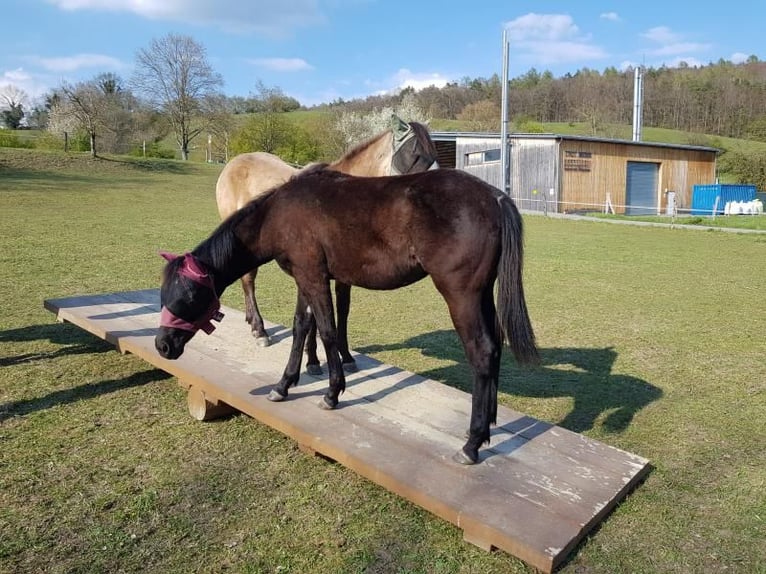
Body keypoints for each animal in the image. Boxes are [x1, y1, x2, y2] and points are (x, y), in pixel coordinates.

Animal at [156, 165, 540, 464]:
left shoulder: (313, 277)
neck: (279, 213)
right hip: (482, 295)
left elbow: (326, 331)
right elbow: (301, 328)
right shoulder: (305, 277)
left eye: (189, 295)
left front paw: (331, 393)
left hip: (461, 296)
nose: (163, 345)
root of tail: (495, 197)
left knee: (482, 352)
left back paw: (472, 443)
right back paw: (488, 424)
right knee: (495, 349)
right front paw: (283, 385)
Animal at [216, 117, 440, 378]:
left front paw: (346, 356)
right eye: (414, 155)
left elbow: (342, 309)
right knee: (248, 280)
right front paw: (312, 360)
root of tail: (235, 162)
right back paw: (259, 330)